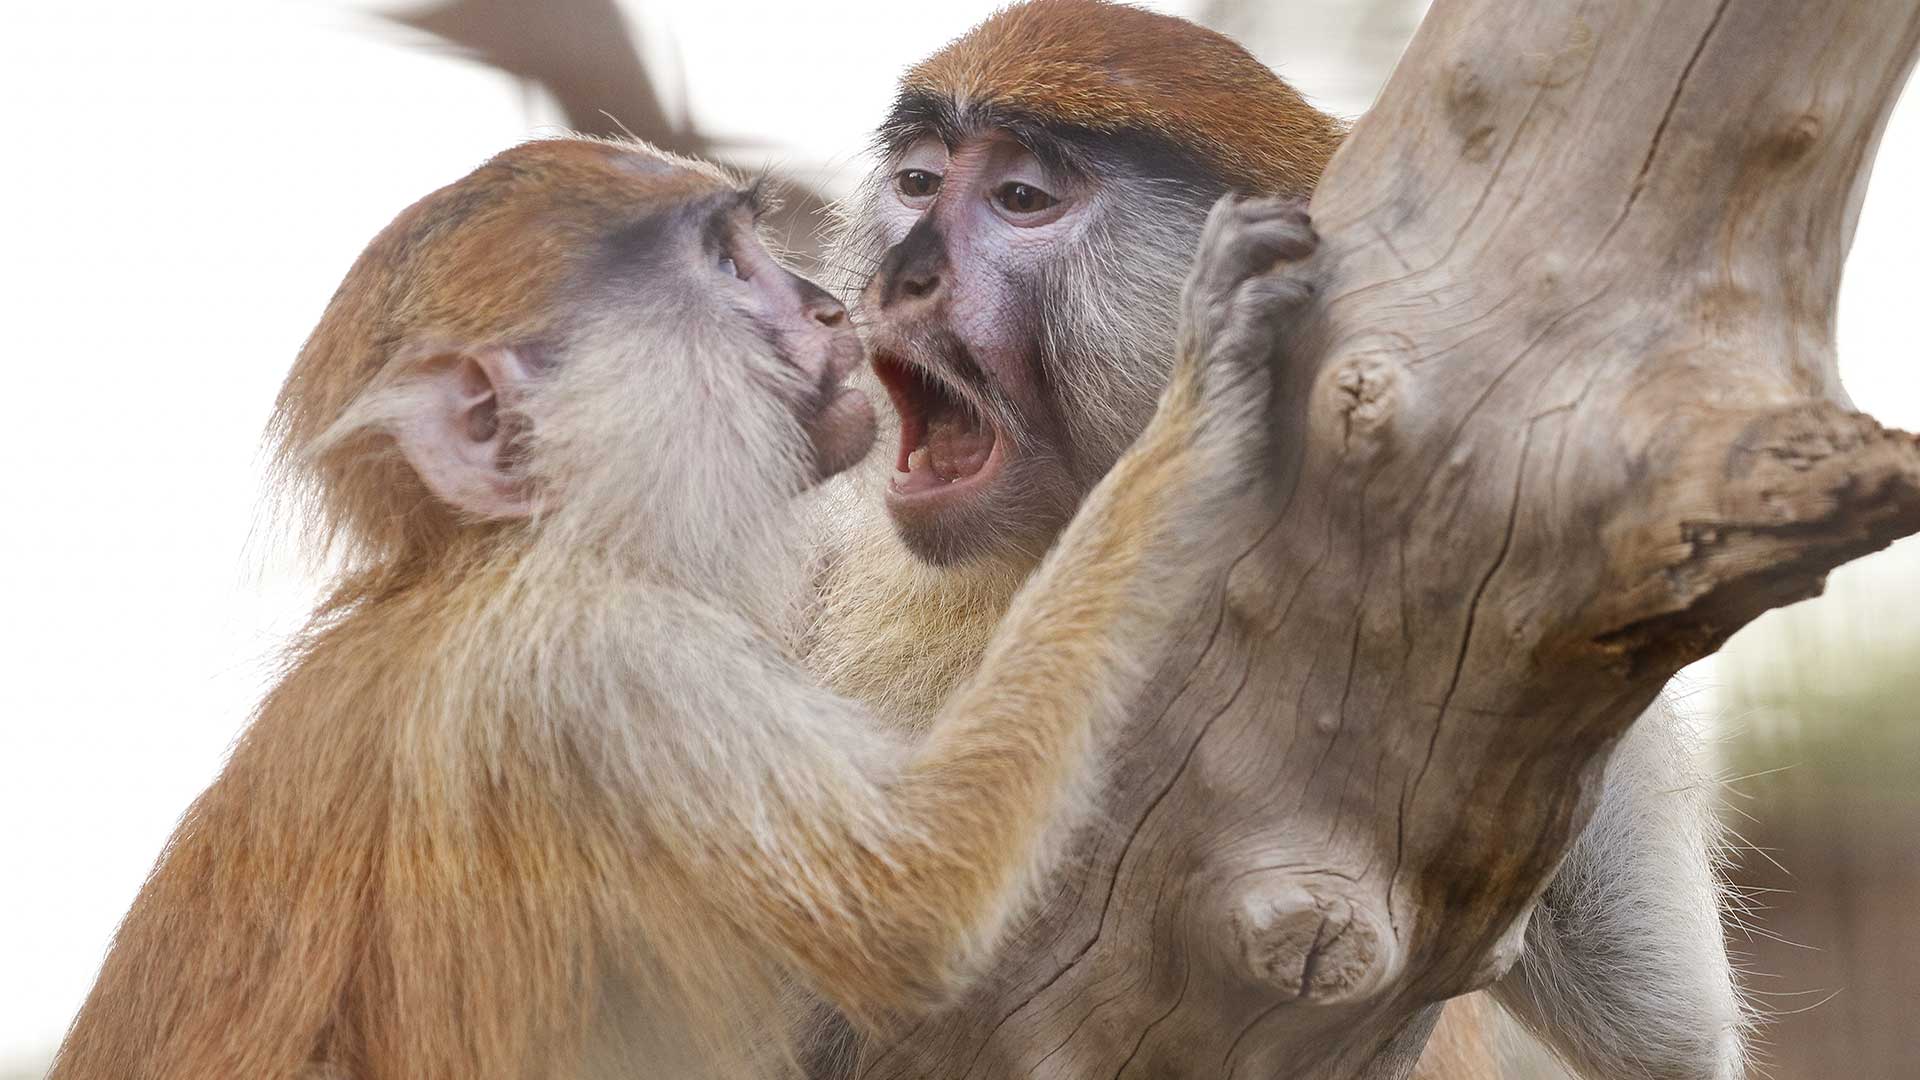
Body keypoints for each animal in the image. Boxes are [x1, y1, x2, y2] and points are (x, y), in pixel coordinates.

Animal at [45, 135, 1319, 1080]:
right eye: (726, 263)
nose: (827, 307)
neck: (501, 552)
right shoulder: (604, 662)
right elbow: (921, 897)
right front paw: (1199, 408)